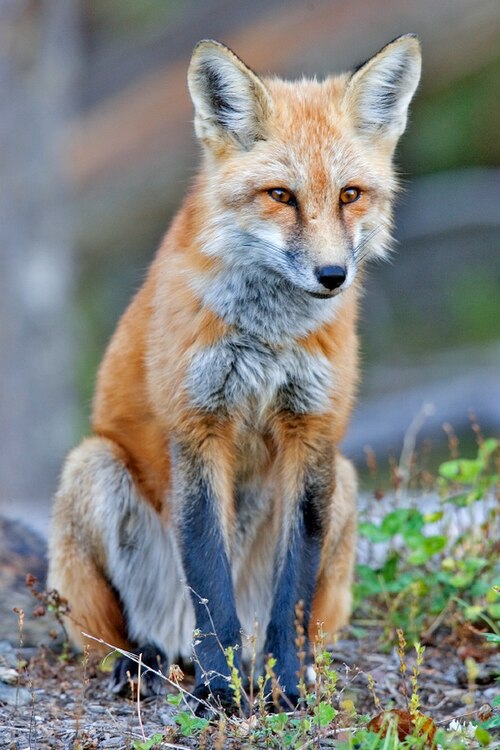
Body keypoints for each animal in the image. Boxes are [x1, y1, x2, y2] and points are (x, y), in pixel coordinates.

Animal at [48, 35, 421, 711]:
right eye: (281, 195)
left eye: (350, 195)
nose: (333, 276)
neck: (268, 338)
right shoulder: (198, 425)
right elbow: (208, 577)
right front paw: (219, 695)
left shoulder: (313, 432)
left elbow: (290, 592)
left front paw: (286, 686)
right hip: (92, 470)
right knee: (129, 637)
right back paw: (150, 664)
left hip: (346, 485)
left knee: (282, 622)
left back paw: (266, 668)